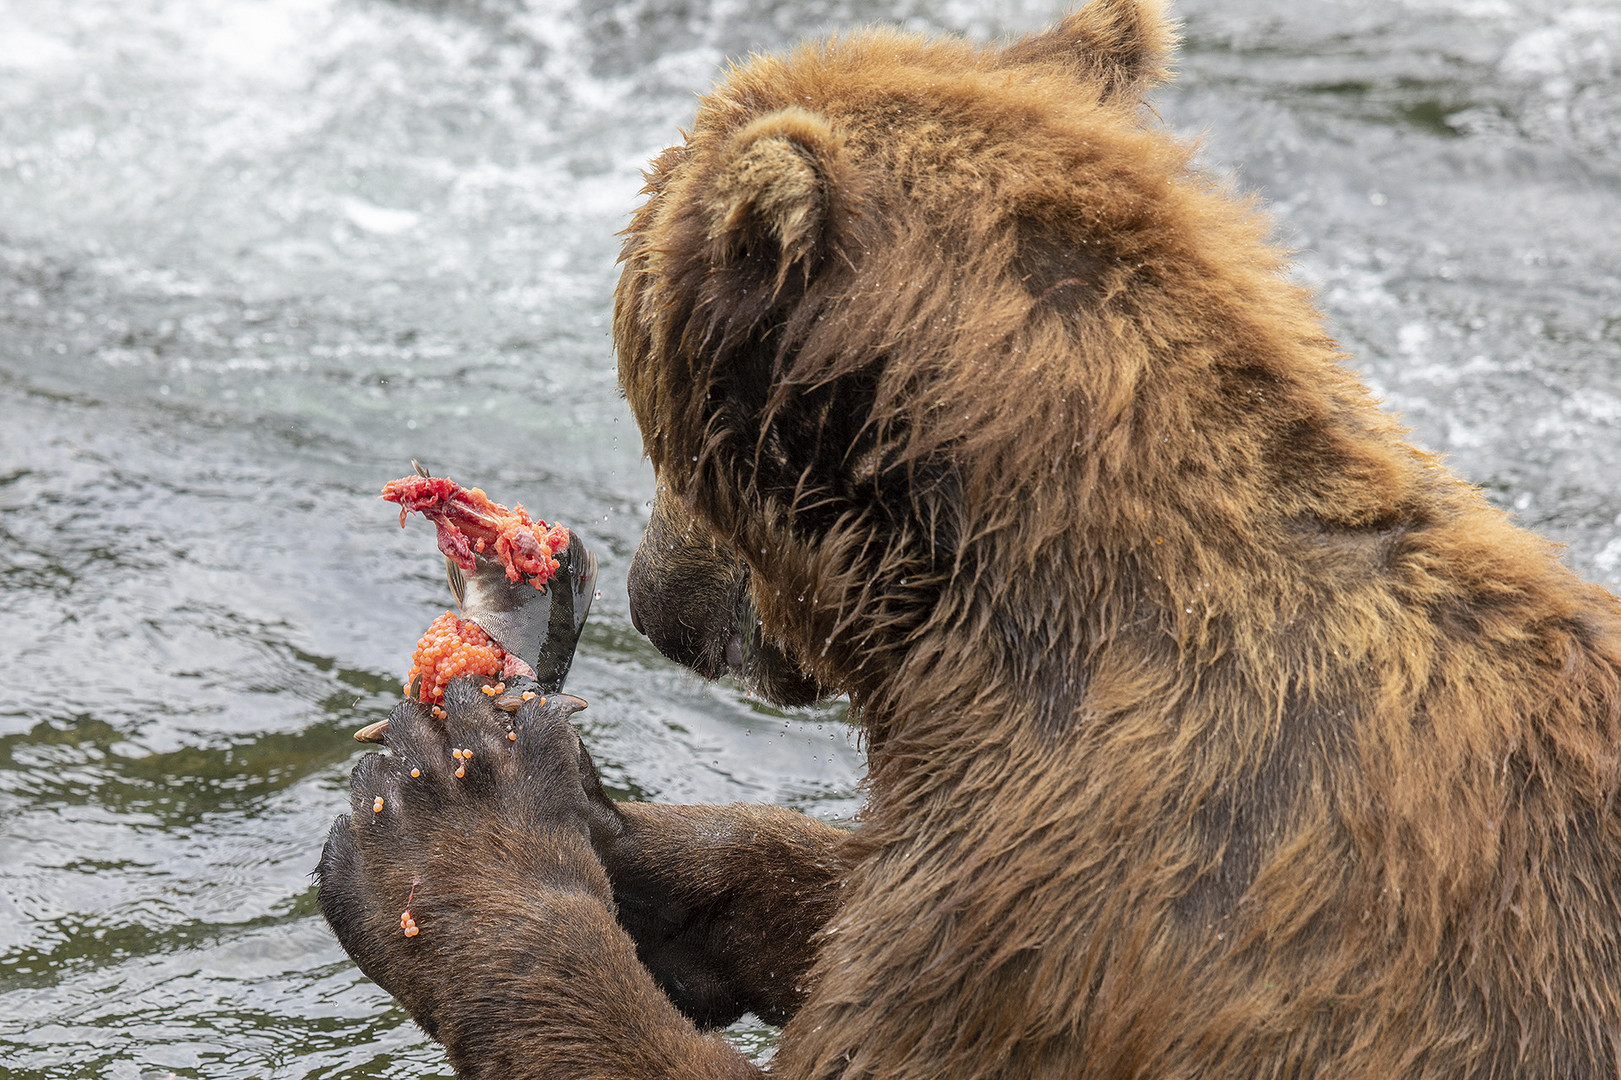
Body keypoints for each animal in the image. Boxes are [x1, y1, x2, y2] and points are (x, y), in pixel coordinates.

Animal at [312, 0, 1621, 1070]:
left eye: (658, 438)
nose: (651, 604)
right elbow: (832, 894)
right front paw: (625, 840)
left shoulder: (1100, 894)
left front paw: (456, 813)